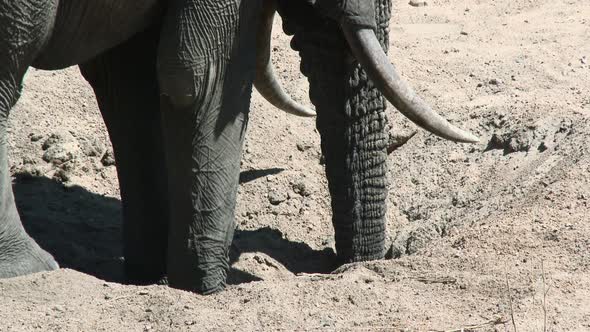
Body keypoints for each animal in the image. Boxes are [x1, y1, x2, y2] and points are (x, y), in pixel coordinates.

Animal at [0, 0, 480, 294]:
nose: (349, 268)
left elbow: (127, 83)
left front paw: (148, 277)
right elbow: (203, 73)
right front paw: (208, 288)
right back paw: (31, 268)